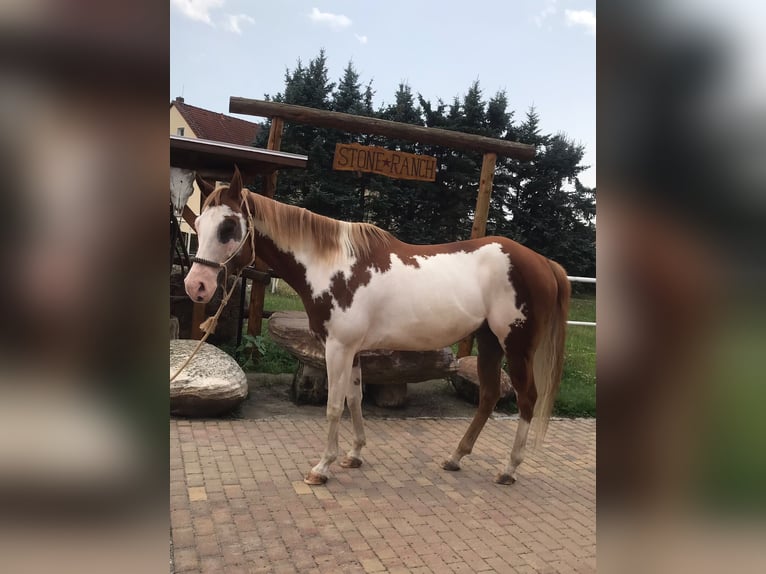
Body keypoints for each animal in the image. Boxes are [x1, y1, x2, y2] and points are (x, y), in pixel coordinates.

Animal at [184, 167, 570, 486]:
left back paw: (508, 469)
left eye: (228, 227)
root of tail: (543, 262)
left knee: (527, 399)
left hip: (516, 347)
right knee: (489, 396)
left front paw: (322, 467)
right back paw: (455, 457)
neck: (332, 266)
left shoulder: (338, 348)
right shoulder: (352, 349)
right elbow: (354, 398)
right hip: (489, 342)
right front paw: (354, 454)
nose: (196, 286)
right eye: (198, 226)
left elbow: (334, 405)